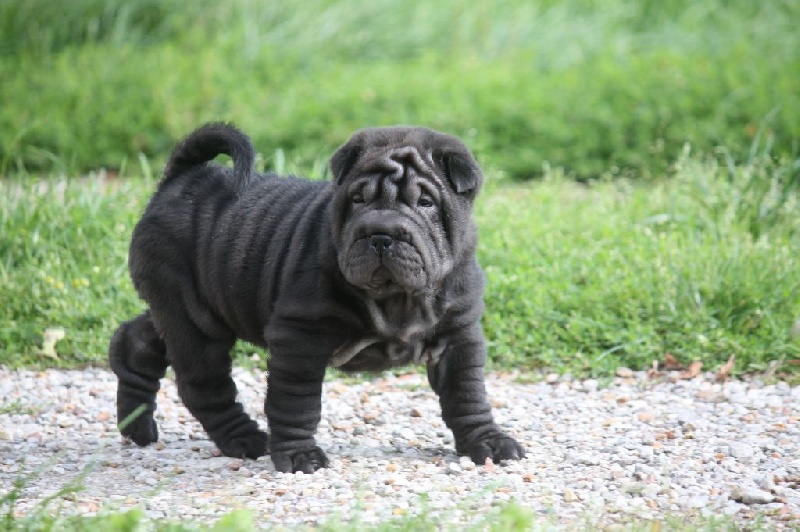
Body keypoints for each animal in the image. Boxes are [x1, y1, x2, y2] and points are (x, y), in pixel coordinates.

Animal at [109, 123, 524, 473]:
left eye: (425, 202)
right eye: (357, 199)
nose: (380, 233)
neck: (398, 299)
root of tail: (179, 179)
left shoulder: (459, 333)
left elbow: (467, 395)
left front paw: (488, 442)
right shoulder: (300, 338)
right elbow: (296, 402)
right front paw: (298, 456)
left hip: (187, 308)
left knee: (139, 339)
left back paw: (136, 425)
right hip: (196, 319)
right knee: (203, 384)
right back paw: (246, 439)